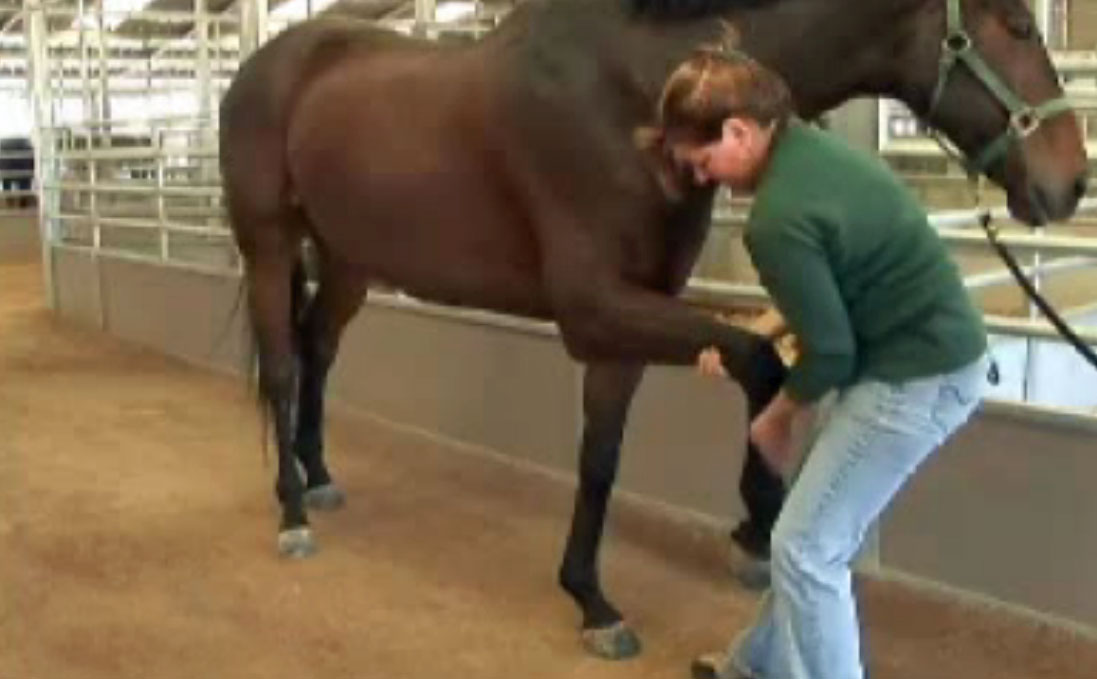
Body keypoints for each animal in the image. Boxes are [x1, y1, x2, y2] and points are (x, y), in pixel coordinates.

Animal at [219, 0, 1087, 660]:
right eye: (1016, 24)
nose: (1070, 181)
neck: (631, 89)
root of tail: (270, 63)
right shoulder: (597, 307)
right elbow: (756, 359)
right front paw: (752, 524)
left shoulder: (624, 323)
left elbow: (602, 457)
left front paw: (591, 597)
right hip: (269, 245)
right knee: (284, 365)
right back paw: (292, 513)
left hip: (347, 259)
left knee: (318, 350)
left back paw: (320, 475)